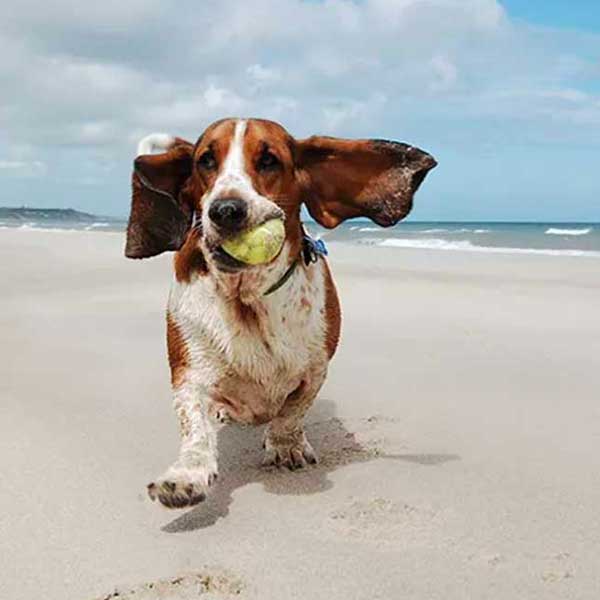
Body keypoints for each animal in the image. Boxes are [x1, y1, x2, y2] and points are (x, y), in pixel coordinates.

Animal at [126, 116, 436, 506]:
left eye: (269, 160)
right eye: (205, 161)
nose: (226, 210)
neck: (247, 297)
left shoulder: (315, 369)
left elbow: (292, 410)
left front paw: (287, 446)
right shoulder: (188, 372)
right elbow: (194, 424)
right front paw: (186, 475)